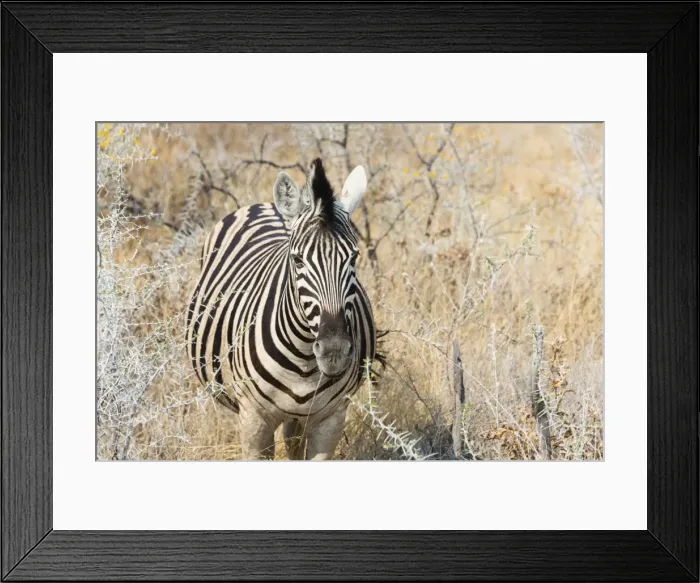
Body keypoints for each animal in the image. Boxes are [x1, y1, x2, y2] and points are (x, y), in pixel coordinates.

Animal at [187, 158, 376, 459]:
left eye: (353, 257)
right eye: (298, 260)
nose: (334, 351)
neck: (304, 362)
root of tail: (266, 204)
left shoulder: (331, 419)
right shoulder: (253, 420)